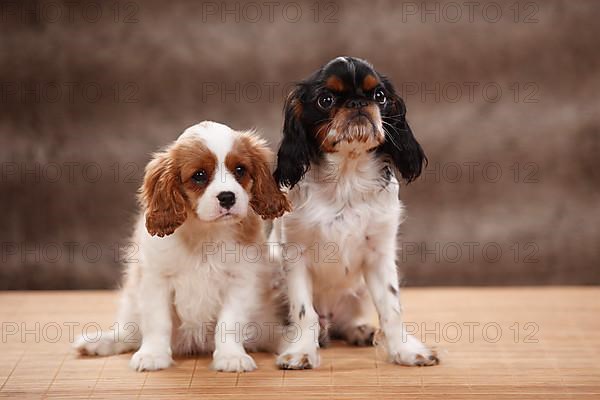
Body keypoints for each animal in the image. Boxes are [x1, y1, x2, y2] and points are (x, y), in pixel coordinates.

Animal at [75, 121, 290, 372]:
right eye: (199, 176)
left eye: (240, 170)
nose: (227, 197)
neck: (205, 232)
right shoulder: (156, 280)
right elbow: (157, 322)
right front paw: (153, 355)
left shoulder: (240, 282)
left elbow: (229, 323)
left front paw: (231, 356)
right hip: (131, 304)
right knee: (129, 334)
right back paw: (100, 342)